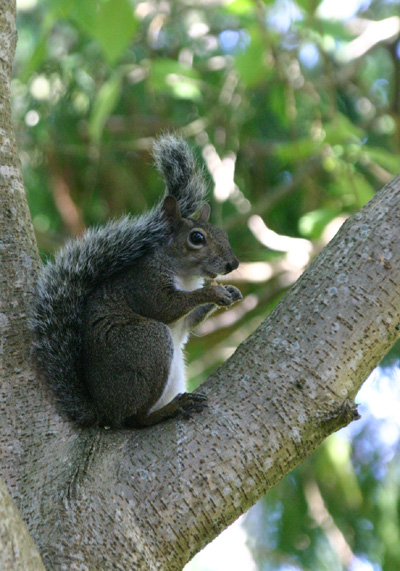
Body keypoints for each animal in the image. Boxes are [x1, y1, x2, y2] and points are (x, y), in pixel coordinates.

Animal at [30, 135, 241, 428]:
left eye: (223, 233)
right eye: (197, 238)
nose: (233, 264)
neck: (186, 276)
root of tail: (102, 411)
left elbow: (190, 318)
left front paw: (231, 291)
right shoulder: (144, 284)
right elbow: (165, 306)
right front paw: (214, 293)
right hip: (147, 344)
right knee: (134, 419)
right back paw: (169, 409)